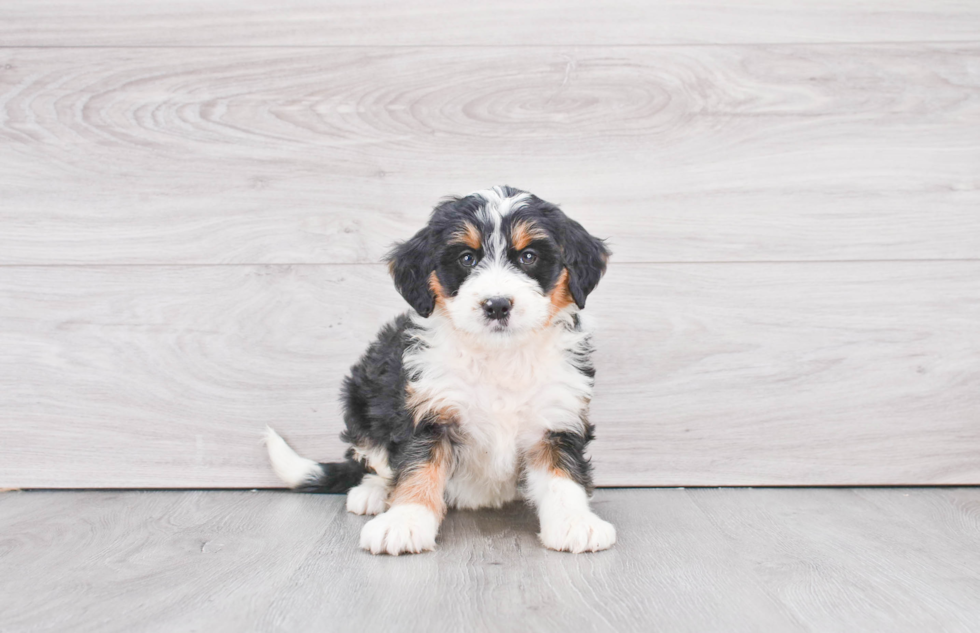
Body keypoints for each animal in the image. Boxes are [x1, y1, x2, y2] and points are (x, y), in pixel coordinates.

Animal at [264, 185, 616, 556]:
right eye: (467, 259)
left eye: (529, 257)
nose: (497, 305)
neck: (498, 355)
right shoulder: (426, 412)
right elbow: (417, 467)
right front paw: (404, 521)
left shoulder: (557, 415)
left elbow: (563, 473)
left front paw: (575, 522)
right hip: (361, 395)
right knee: (374, 457)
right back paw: (372, 493)